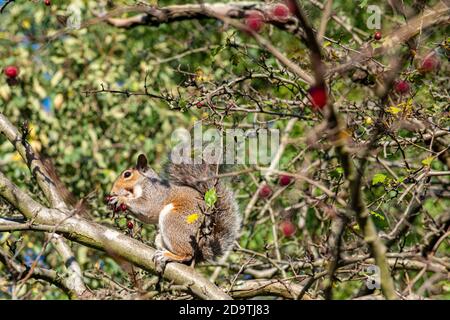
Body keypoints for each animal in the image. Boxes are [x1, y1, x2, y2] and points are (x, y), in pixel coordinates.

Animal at [107, 154, 241, 272]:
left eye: (127, 174)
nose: (112, 191)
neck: (143, 183)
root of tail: (203, 246)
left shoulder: (156, 194)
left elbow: (148, 208)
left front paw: (120, 199)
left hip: (173, 221)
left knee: (187, 254)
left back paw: (168, 256)